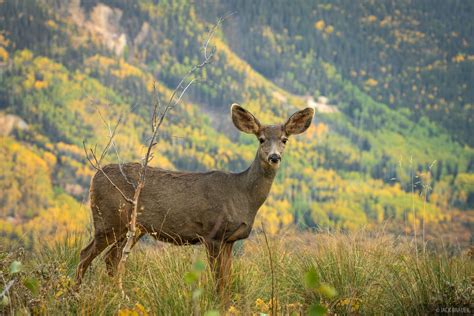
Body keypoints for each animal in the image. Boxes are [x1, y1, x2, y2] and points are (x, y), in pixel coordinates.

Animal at [75, 103, 314, 294]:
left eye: (284, 140)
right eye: (261, 139)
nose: (274, 157)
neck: (243, 196)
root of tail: (95, 176)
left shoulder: (229, 239)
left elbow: (227, 281)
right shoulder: (212, 233)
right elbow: (218, 281)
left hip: (132, 228)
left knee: (111, 259)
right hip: (108, 219)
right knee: (85, 254)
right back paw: (75, 294)